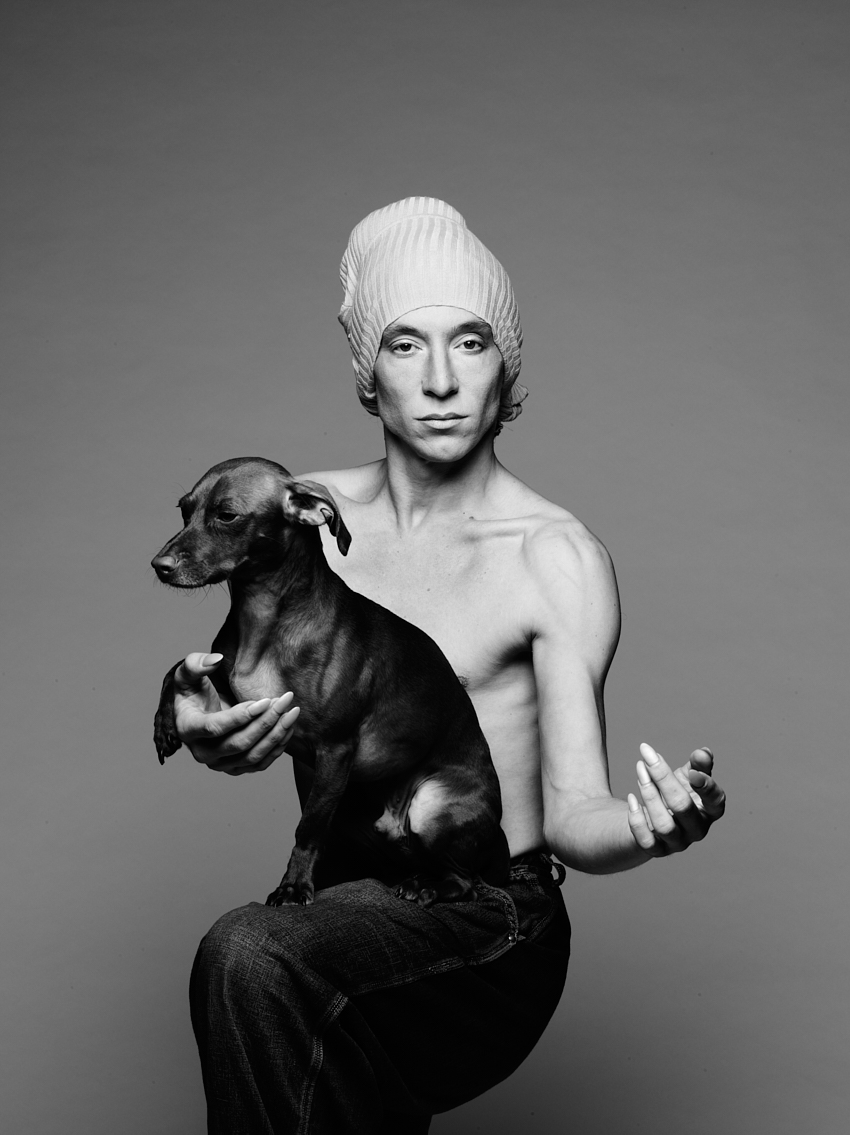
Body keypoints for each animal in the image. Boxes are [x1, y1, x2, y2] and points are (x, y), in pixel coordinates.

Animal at [152, 457, 510, 907]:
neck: (264, 618)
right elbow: (176, 666)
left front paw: (293, 886)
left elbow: (308, 829)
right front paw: (165, 724)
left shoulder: (335, 750)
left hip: (430, 806)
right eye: (185, 511)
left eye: (227, 515)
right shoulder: (230, 684)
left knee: (465, 881)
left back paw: (426, 886)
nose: (159, 566)